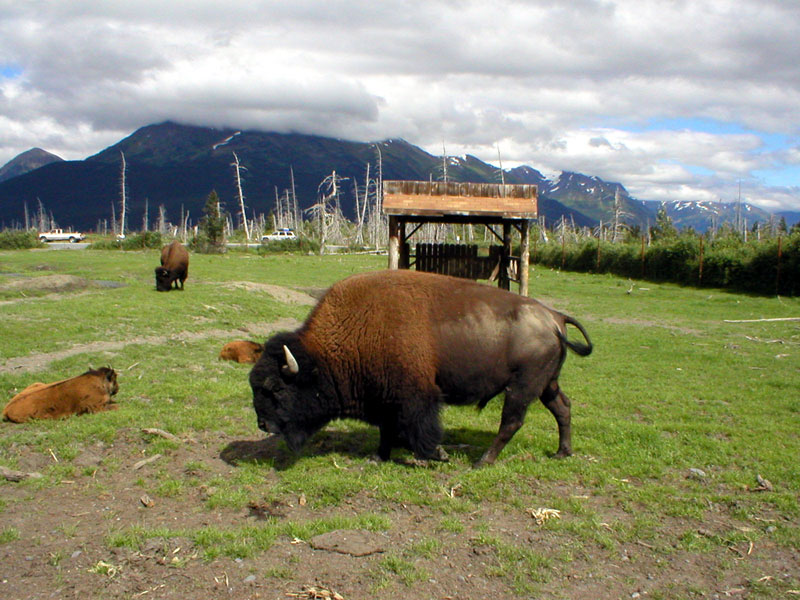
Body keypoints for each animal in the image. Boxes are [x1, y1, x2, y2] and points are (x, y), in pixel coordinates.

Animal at [249, 269, 592, 466]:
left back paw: (483, 461)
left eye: (276, 388)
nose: (263, 425)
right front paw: (378, 456)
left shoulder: (416, 396)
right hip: (547, 383)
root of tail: (555, 317)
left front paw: (434, 455)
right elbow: (388, 430)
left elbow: (418, 428)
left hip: (521, 387)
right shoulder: (386, 399)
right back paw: (562, 452)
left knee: (511, 421)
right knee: (562, 408)